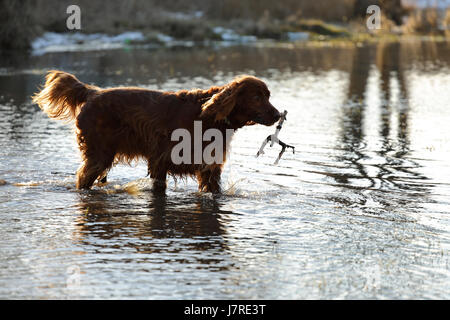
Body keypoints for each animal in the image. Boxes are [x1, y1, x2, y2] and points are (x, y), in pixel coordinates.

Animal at [33, 71, 282, 194]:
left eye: (268, 95)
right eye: (257, 97)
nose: (278, 114)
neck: (207, 117)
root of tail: (92, 92)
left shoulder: (209, 167)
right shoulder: (161, 161)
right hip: (98, 155)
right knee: (82, 179)